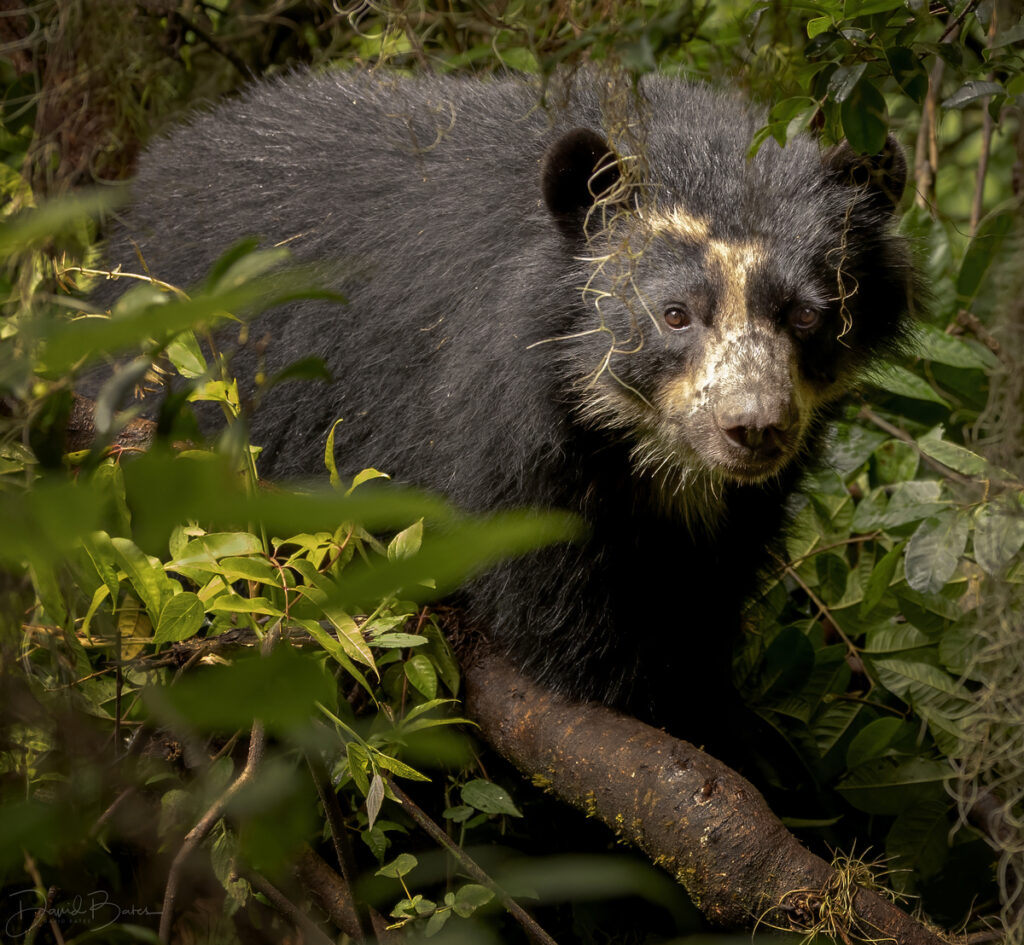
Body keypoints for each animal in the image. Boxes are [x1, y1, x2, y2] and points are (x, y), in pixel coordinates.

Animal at [101, 69, 913, 742]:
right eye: (676, 315)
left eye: (808, 315)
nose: (753, 429)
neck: (643, 448)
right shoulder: (497, 431)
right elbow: (557, 619)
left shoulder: (735, 508)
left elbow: (705, 592)